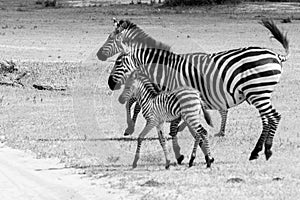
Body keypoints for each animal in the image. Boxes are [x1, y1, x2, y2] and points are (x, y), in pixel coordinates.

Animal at [99, 18, 290, 161]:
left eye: (118, 62)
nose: (110, 83)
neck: (164, 69)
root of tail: (276, 54)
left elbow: (160, 116)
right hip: (258, 93)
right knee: (267, 119)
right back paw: (258, 149)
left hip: (257, 92)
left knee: (274, 117)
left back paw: (264, 150)